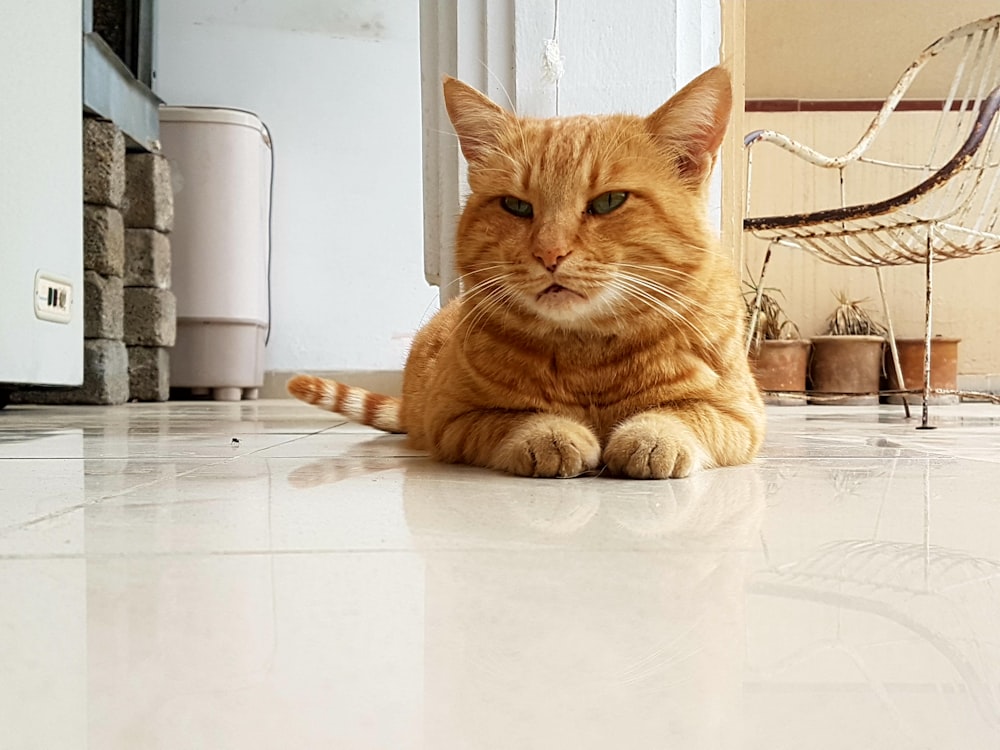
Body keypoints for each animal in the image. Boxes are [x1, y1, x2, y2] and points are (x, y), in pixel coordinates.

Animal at [290, 70, 764, 482]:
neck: (588, 357)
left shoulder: (740, 414)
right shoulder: (453, 419)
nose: (549, 253)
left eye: (609, 201)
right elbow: (515, 419)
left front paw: (651, 436)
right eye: (516, 206)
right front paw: (551, 434)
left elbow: (685, 414)